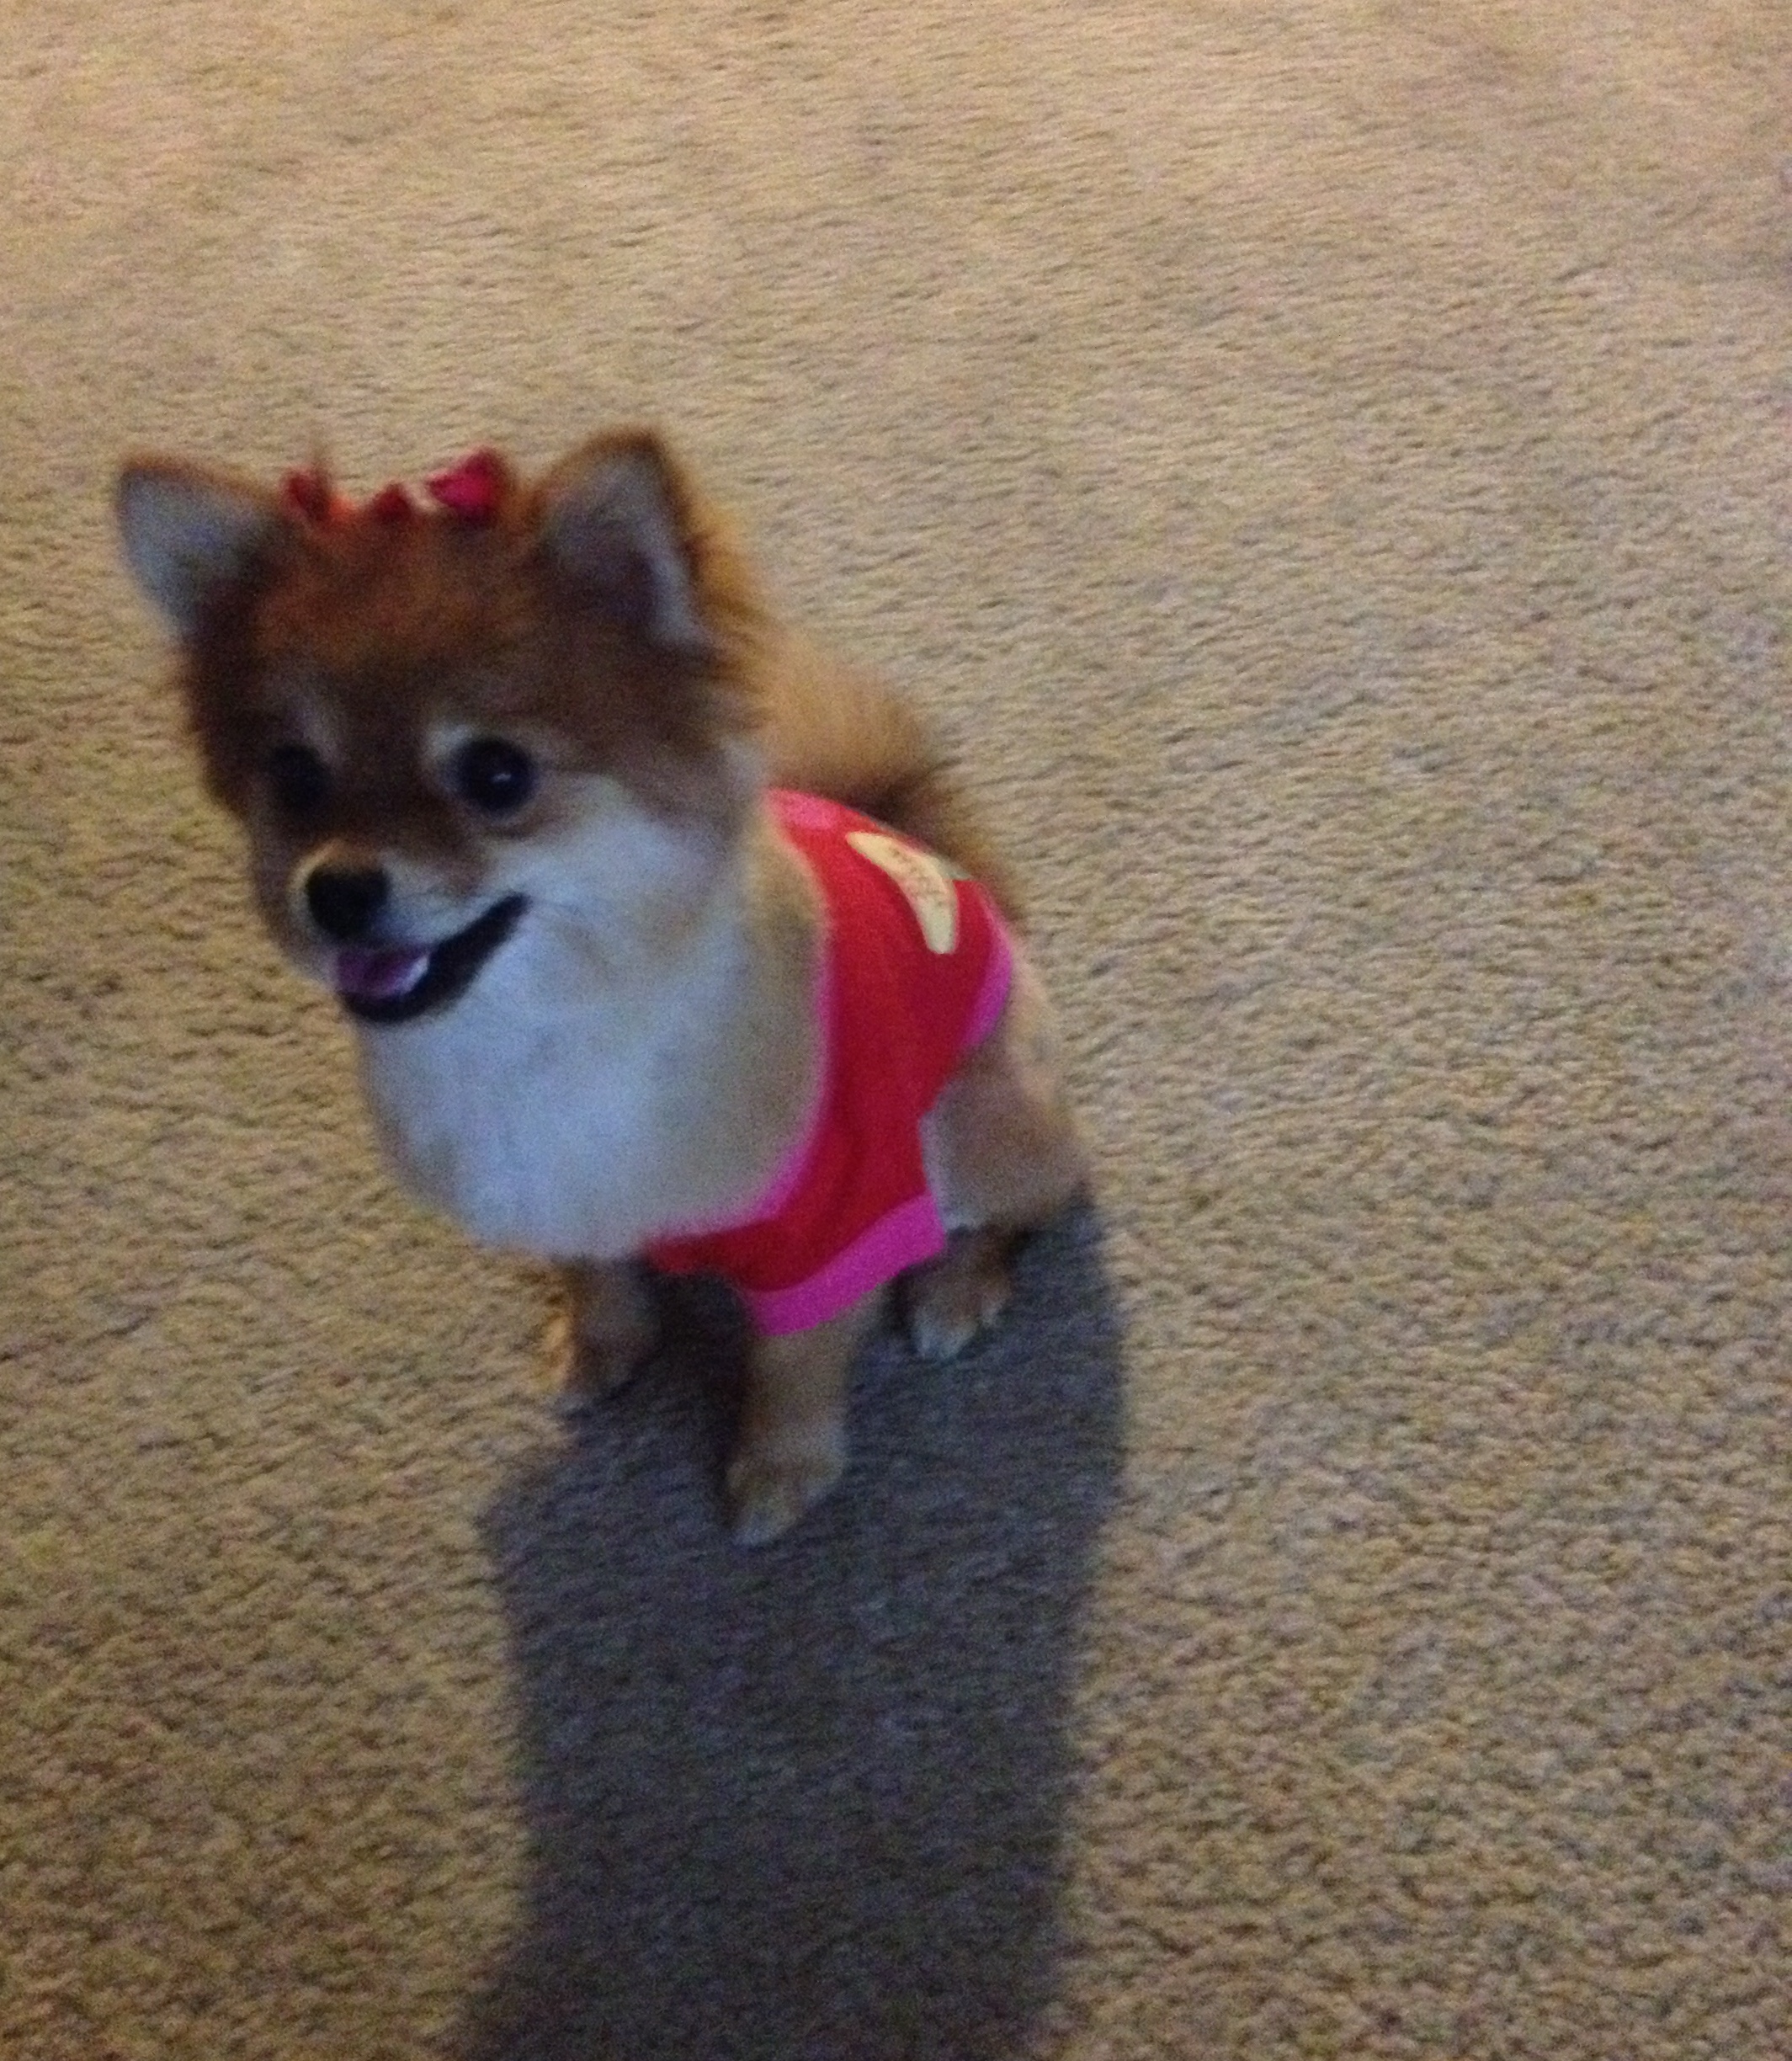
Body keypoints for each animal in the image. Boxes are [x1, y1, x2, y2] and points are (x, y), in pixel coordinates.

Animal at [115, 430, 1088, 1541]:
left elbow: (792, 1364)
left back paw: (954, 1288)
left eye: (497, 776)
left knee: (1023, 1208)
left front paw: (780, 1470)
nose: (338, 889)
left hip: (980, 1122)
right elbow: (600, 1279)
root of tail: (934, 852)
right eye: (293, 775)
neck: (538, 1032)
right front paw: (600, 1347)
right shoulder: (564, 1196)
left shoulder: (831, 1227)